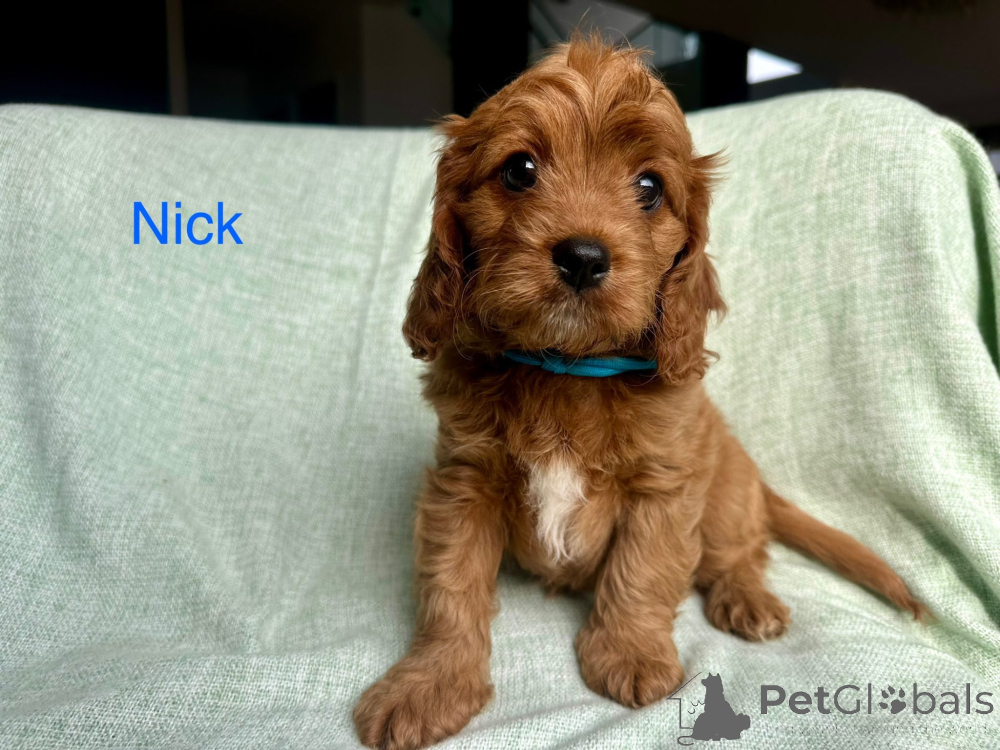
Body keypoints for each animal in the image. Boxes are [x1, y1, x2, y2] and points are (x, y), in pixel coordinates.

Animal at [354, 35, 925, 750]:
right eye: (519, 170)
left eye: (649, 188)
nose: (583, 256)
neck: (564, 370)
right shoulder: (462, 484)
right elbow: (449, 588)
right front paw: (429, 685)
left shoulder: (663, 488)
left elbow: (641, 572)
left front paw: (629, 654)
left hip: (725, 496)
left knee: (742, 552)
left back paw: (748, 599)